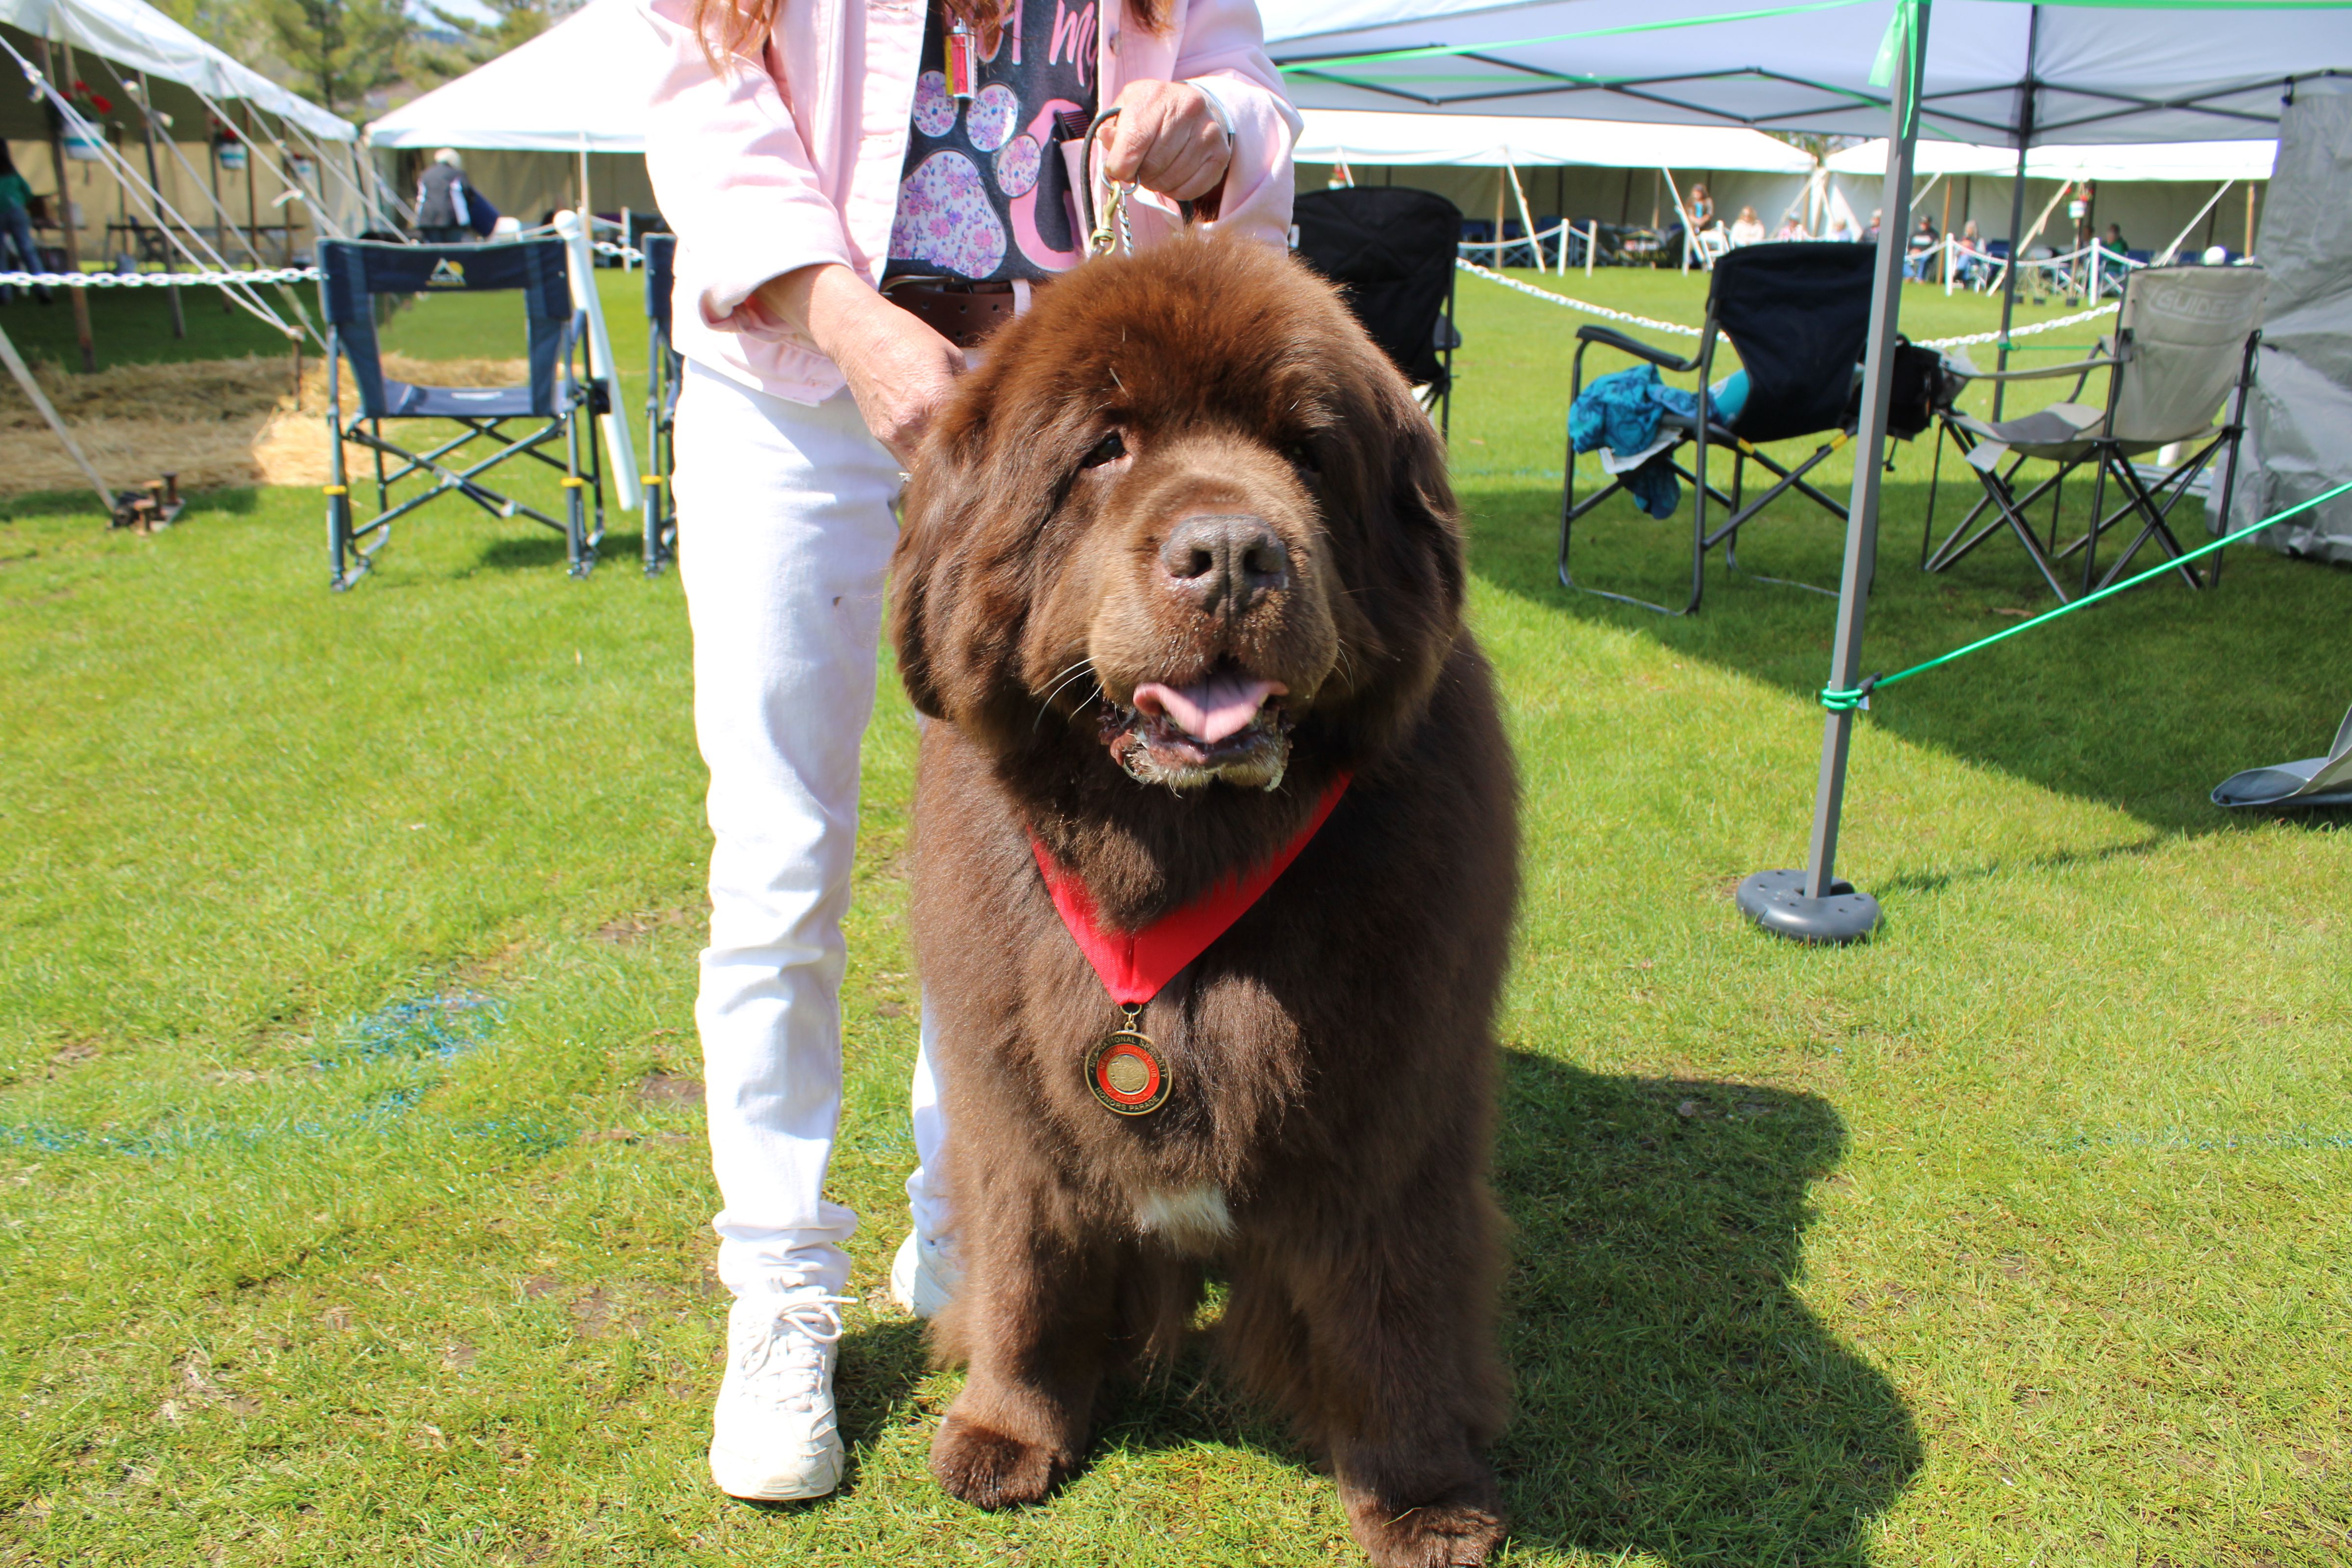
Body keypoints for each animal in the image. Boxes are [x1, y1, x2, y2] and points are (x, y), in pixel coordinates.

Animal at [889, 236, 1515, 1568]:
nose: (1231, 552)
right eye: (1103, 447)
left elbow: (1395, 1304)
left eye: (1308, 450)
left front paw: (1423, 1495)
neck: (1179, 855)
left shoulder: (1395, 1112)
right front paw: (1006, 1428)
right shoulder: (1013, 1102)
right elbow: (1024, 1269)